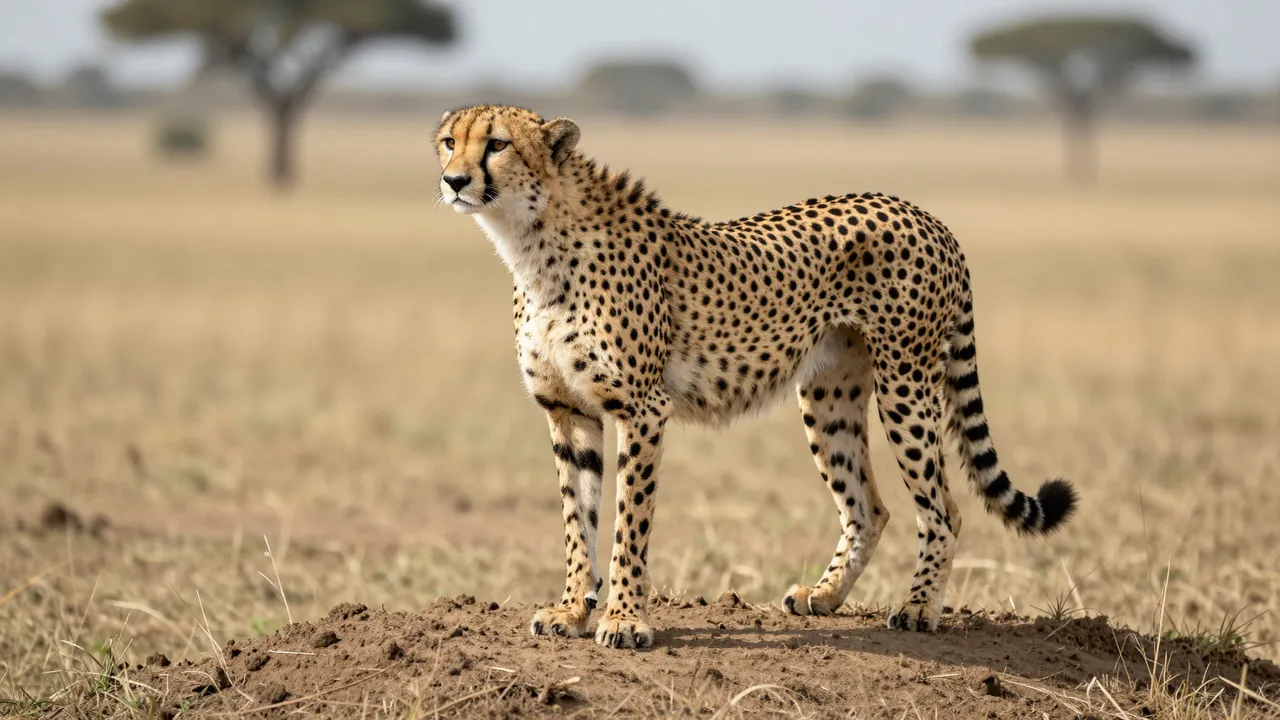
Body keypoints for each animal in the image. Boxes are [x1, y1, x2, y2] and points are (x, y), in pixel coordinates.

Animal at [433, 104, 1077, 650]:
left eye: (497, 144)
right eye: (448, 142)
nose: (454, 181)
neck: (532, 241)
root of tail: (924, 214)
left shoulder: (641, 409)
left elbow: (628, 523)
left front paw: (624, 619)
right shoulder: (569, 411)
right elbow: (578, 518)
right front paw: (570, 609)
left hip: (905, 384)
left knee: (944, 507)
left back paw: (918, 608)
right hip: (828, 395)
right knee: (870, 506)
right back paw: (824, 595)